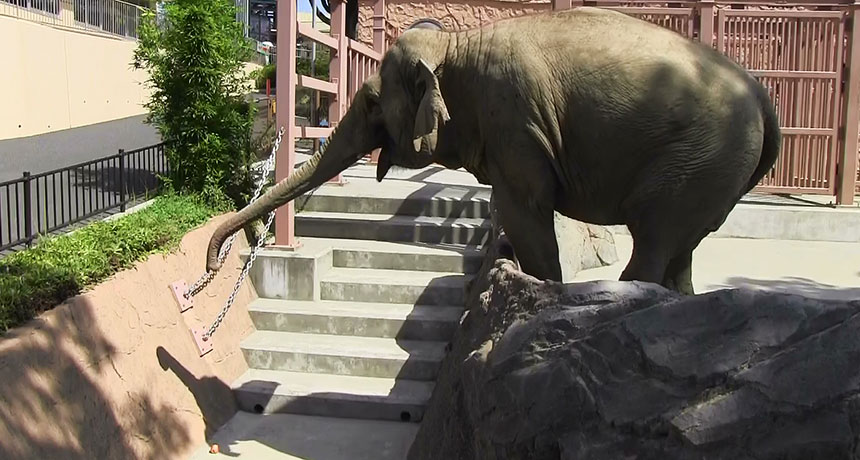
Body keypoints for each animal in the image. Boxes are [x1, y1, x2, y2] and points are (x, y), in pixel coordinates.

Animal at [205, 7, 780, 295]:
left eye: (370, 103)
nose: (213, 264)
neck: (457, 46)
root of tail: (763, 96)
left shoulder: (514, 121)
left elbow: (526, 209)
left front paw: (539, 291)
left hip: (697, 161)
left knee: (655, 237)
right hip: (713, 170)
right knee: (682, 249)